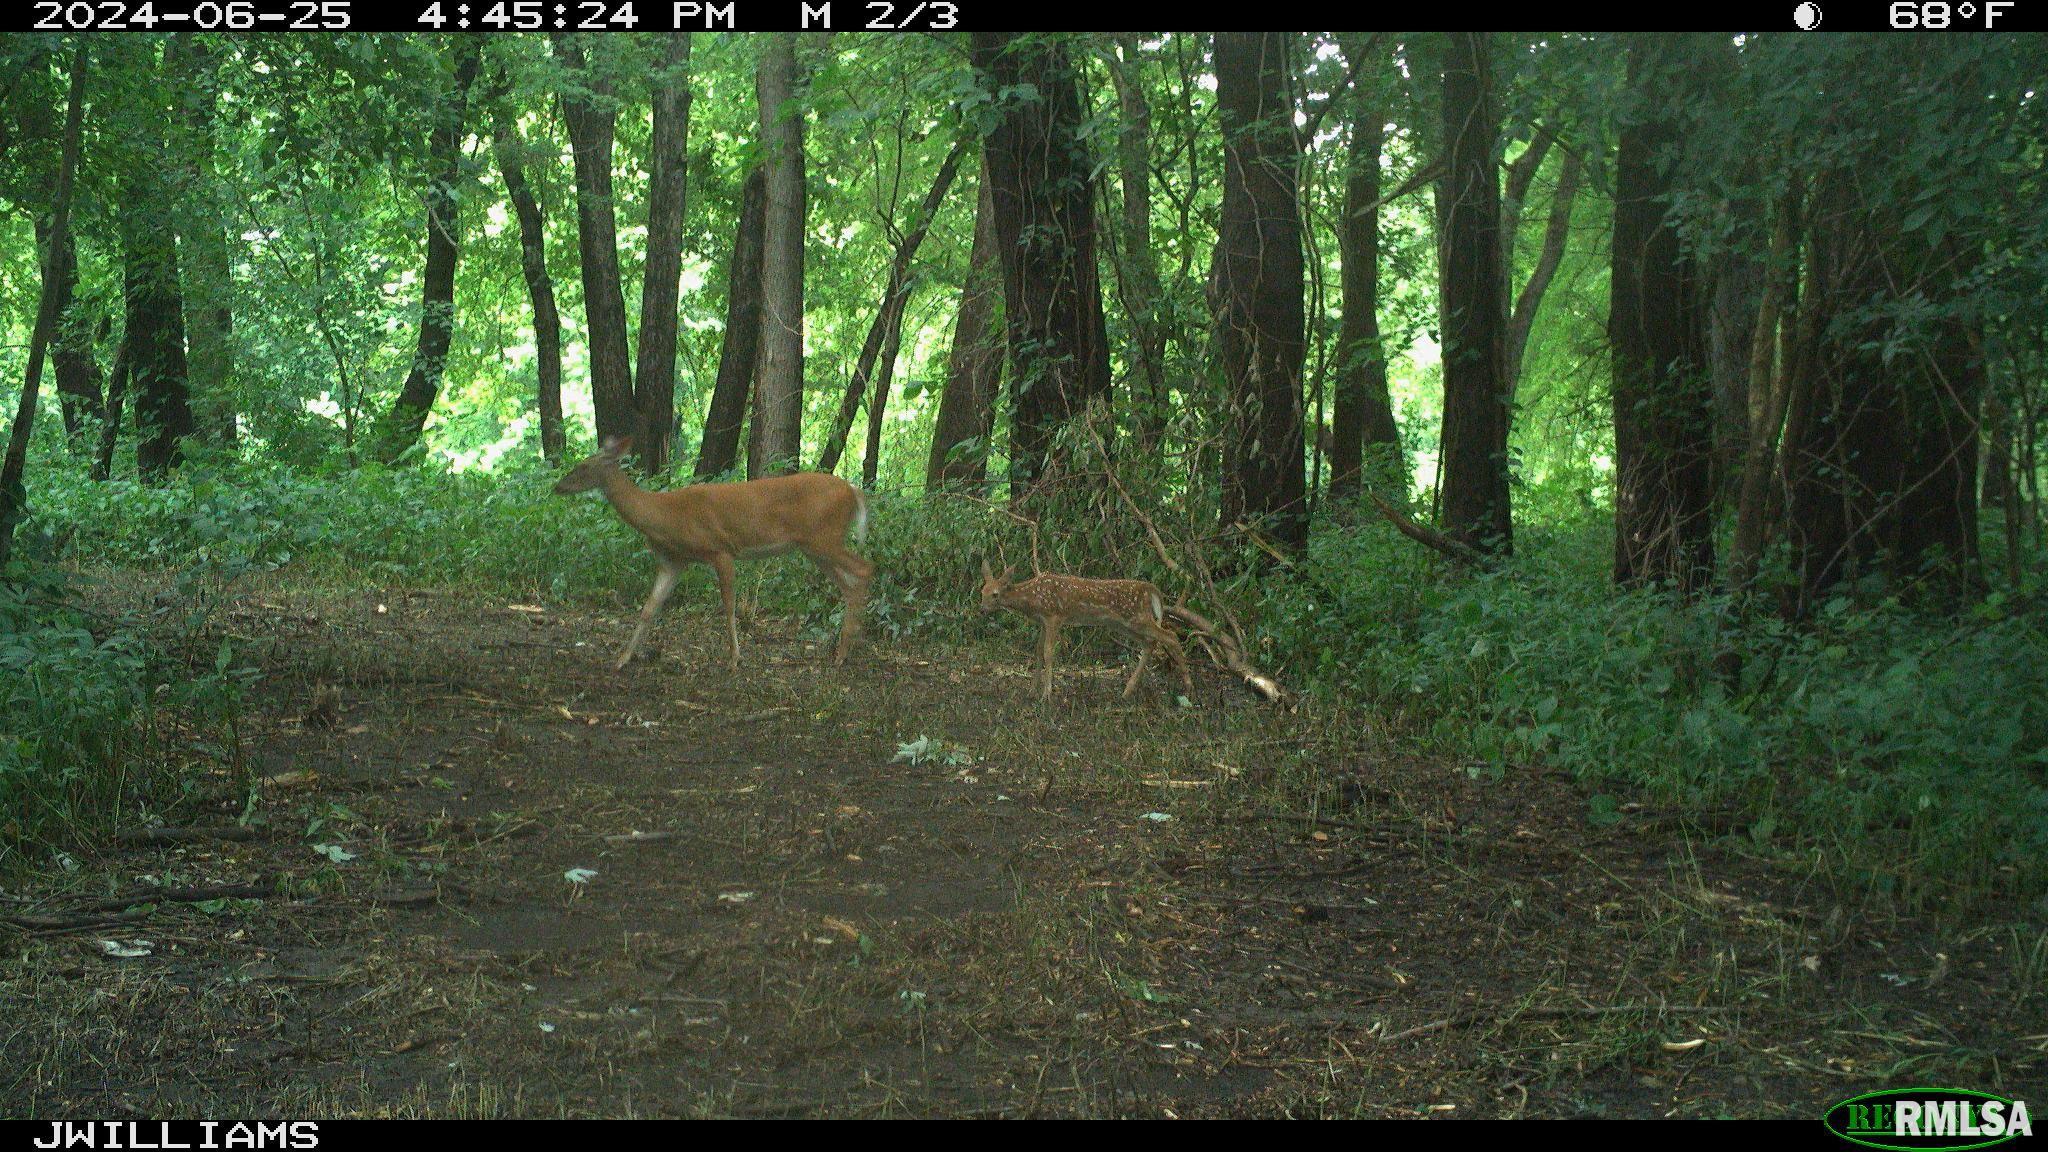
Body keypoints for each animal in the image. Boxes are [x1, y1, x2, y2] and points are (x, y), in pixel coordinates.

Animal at [557, 436, 876, 668]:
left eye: (583, 466)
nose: (558, 486)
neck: (664, 516)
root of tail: (854, 491)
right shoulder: (674, 561)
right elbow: (649, 608)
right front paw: (622, 659)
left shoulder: (720, 549)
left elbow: (728, 604)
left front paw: (735, 657)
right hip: (814, 547)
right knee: (849, 584)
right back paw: (845, 648)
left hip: (824, 538)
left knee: (864, 569)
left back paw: (844, 653)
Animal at [983, 557, 1196, 701]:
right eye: (981, 592)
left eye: (995, 594)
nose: (982, 608)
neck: (1033, 599)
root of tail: (1151, 590)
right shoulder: (1043, 622)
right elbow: (1037, 652)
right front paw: (1031, 691)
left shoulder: (1054, 617)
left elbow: (1048, 652)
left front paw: (1046, 694)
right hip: (1124, 624)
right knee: (1150, 643)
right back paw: (1127, 691)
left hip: (1137, 618)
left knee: (1170, 636)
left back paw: (1188, 686)